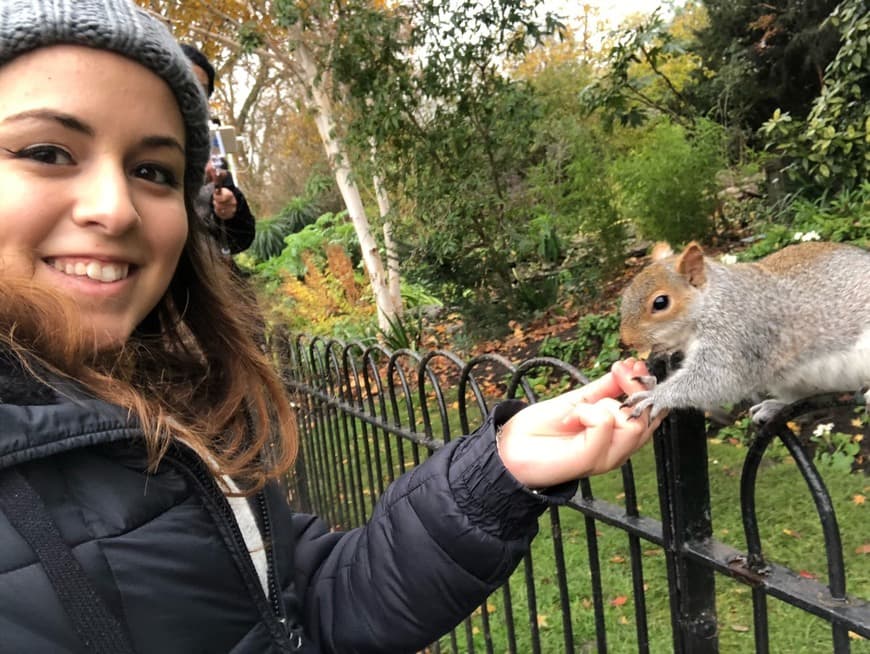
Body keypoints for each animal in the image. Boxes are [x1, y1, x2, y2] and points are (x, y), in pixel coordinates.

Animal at [620, 242, 870, 426]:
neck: (711, 302)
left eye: (661, 302)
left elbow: (720, 379)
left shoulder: (737, 335)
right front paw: (651, 380)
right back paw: (774, 407)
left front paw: (655, 395)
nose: (626, 339)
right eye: (627, 292)